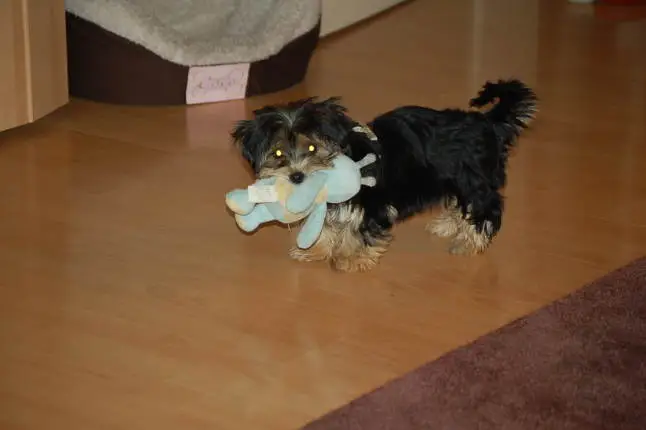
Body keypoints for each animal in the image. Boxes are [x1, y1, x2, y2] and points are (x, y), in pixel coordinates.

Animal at [231, 79, 537, 272]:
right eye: (278, 153)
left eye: (312, 148)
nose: (297, 177)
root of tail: (487, 123)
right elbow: (328, 226)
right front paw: (316, 251)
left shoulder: (372, 204)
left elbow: (361, 229)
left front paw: (351, 258)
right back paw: (449, 225)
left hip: (473, 179)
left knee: (486, 207)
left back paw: (469, 241)